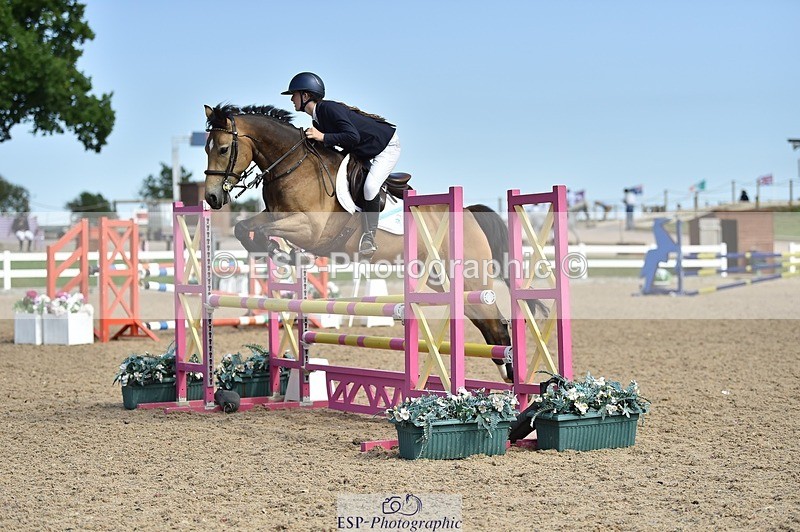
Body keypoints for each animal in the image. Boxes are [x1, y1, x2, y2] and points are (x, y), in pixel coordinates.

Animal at [202, 104, 530, 383]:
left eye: (223, 148)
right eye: (206, 149)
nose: (212, 198)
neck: (294, 165)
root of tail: (469, 211)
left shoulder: (310, 229)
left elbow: (265, 230)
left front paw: (281, 252)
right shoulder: (277, 216)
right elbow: (244, 227)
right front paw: (275, 252)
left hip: (470, 280)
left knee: (496, 324)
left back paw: (514, 380)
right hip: (446, 282)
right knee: (489, 324)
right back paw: (508, 375)